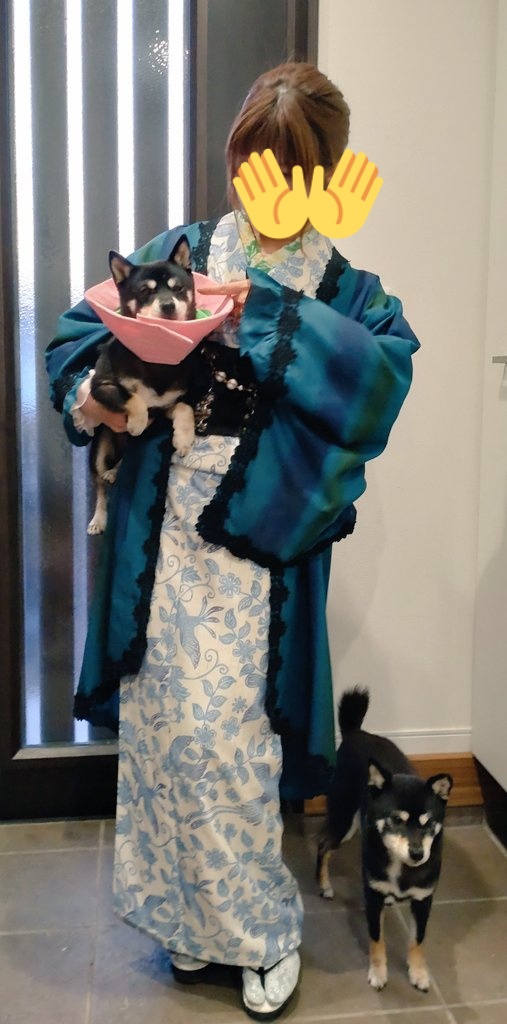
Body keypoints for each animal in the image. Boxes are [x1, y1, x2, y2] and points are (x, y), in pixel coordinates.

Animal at [87, 235, 202, 535]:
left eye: (178, 289)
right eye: (144, 292)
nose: (168, 305)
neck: (156, 356)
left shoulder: (166, 406)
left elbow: (184, 407)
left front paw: (183, 438)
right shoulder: (100, 387)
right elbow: (132, 396)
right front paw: (137, 421)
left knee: (121, 462)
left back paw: (115, 471)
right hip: (99, 450)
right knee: (100, 486)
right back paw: (98, 518)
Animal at [316, 687, 452, 993]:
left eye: (429, 824)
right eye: (396, 820)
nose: (417, 853)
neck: (402, 869)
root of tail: (356, 732)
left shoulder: (423, 900)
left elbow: (417, 940)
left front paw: (419, 972)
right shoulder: (373, 897)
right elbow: (376, 939)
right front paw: (378, 972)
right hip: (345, 823)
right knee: (323, 844)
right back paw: (324, 885)